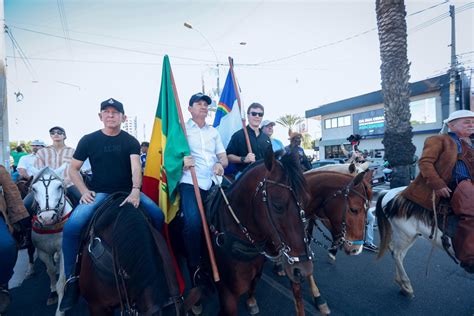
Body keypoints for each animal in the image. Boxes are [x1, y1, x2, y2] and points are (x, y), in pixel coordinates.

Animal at [29, 165, 72, 316]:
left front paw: (60, 310)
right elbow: (51, 271)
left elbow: (62, 280)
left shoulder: (64, 249)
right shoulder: (42, 251)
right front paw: (53, 292)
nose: (47, 217)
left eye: (59, 186)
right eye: (34, 189)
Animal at [208, 149, 312, 316]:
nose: (303, 271)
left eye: (307, 200)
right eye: (277, 206)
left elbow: (253, 284)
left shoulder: (256, 271)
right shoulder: (227, 293)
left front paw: (251, 301)